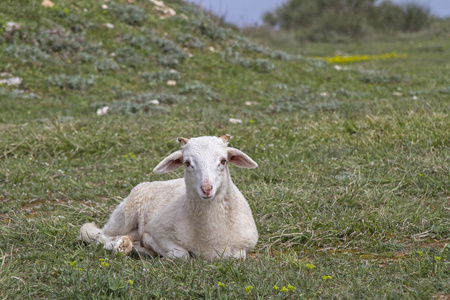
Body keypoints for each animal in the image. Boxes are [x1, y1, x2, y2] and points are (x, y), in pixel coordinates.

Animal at [79, 135, 258, 258]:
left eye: (223, 161)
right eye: (187, 163)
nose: (206, 189)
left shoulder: (244, 246)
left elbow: (238, 256)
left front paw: (145, 246)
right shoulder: (160, 231)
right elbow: (182, 254)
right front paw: (148, 242)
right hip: (124, 214)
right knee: (100, 236)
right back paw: (121, 245)